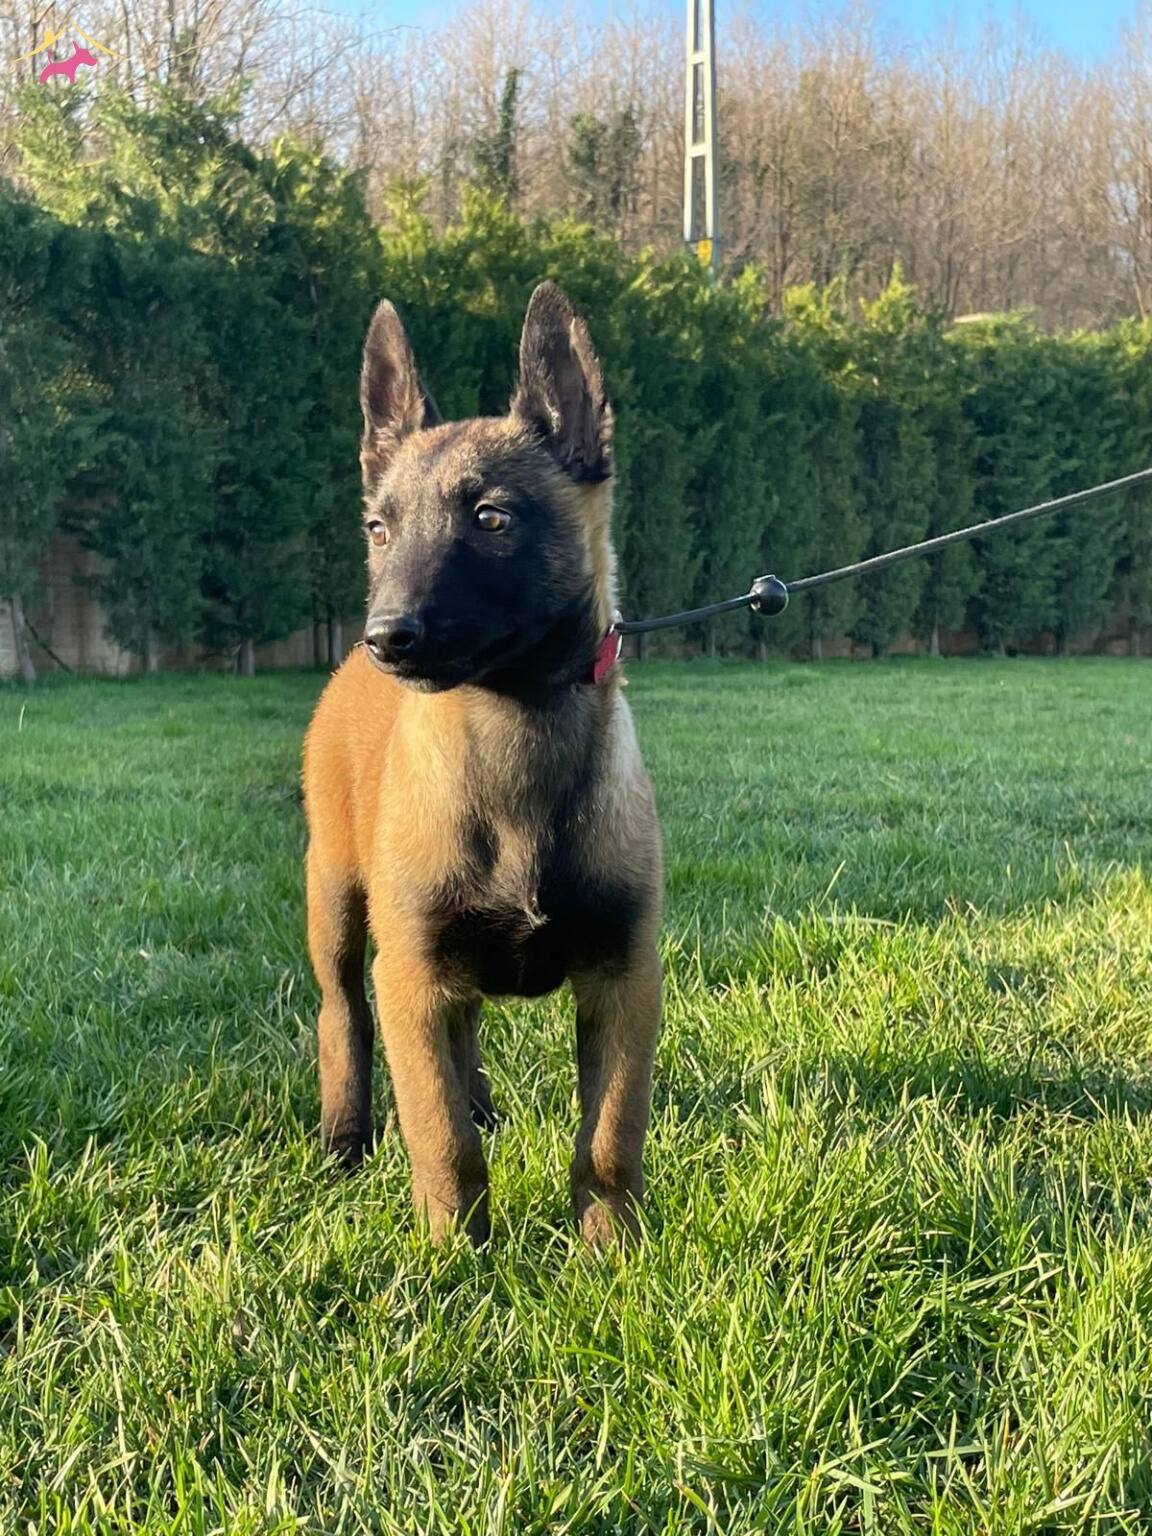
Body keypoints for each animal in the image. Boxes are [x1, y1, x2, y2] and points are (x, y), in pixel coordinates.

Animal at [302, 283, 663, 1247]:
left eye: (492, 518)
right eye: (379, 529)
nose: (388, 637)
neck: (513, 727)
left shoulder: (622, 976)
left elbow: (607, 1139)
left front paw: (610, 1255)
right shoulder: (410, 973)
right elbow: (440, 1139)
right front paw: (452, 1259)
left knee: (457, 1043)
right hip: (341, 907)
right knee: (345, 1016)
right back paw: (344, 1140)